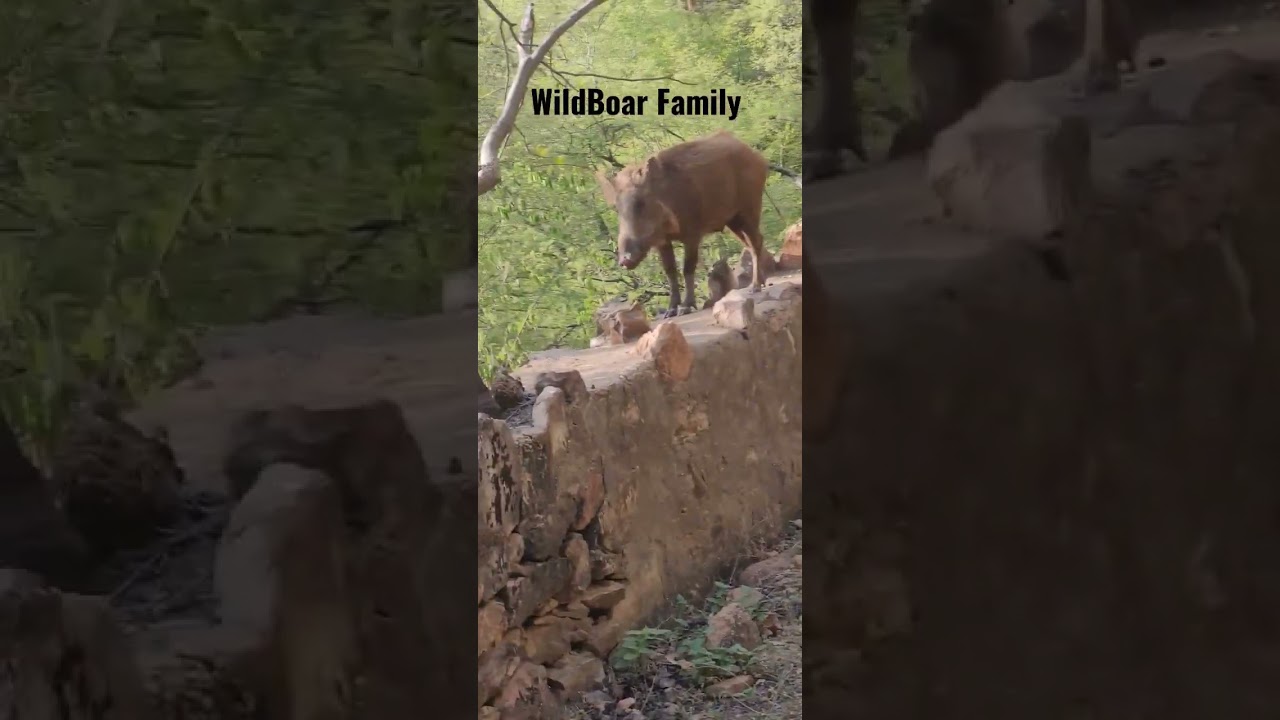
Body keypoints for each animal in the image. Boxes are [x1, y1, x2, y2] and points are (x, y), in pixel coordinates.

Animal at [595, 131, 770, 318]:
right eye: (616, 208)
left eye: (641, 203)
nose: (624, 260)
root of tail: (756, 156)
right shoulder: (662, 242)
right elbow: (670, 271)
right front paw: (670, 312)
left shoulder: (692, 234)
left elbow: (688, 268)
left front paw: (685, 308)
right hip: (733, 220)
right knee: (750, 244)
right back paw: (760, 284)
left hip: (749, 208)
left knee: (756, 241)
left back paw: (755, 287)